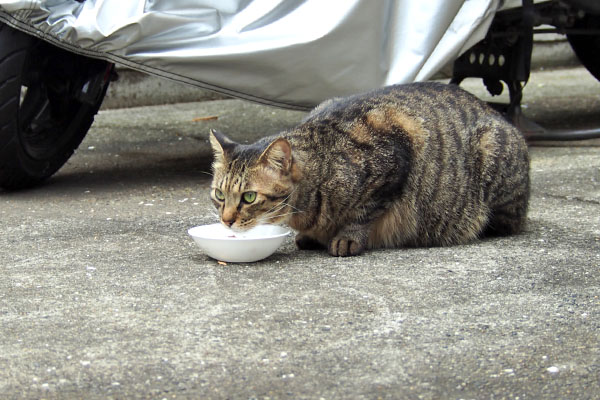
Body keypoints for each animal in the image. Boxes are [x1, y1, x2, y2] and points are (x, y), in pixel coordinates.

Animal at [209, 82, 528, 256]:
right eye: (219, 195)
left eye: (249, 197)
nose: (226, 221)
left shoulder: (396, 153)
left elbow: (364, 211)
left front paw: (346, 237)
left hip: (492, 152)